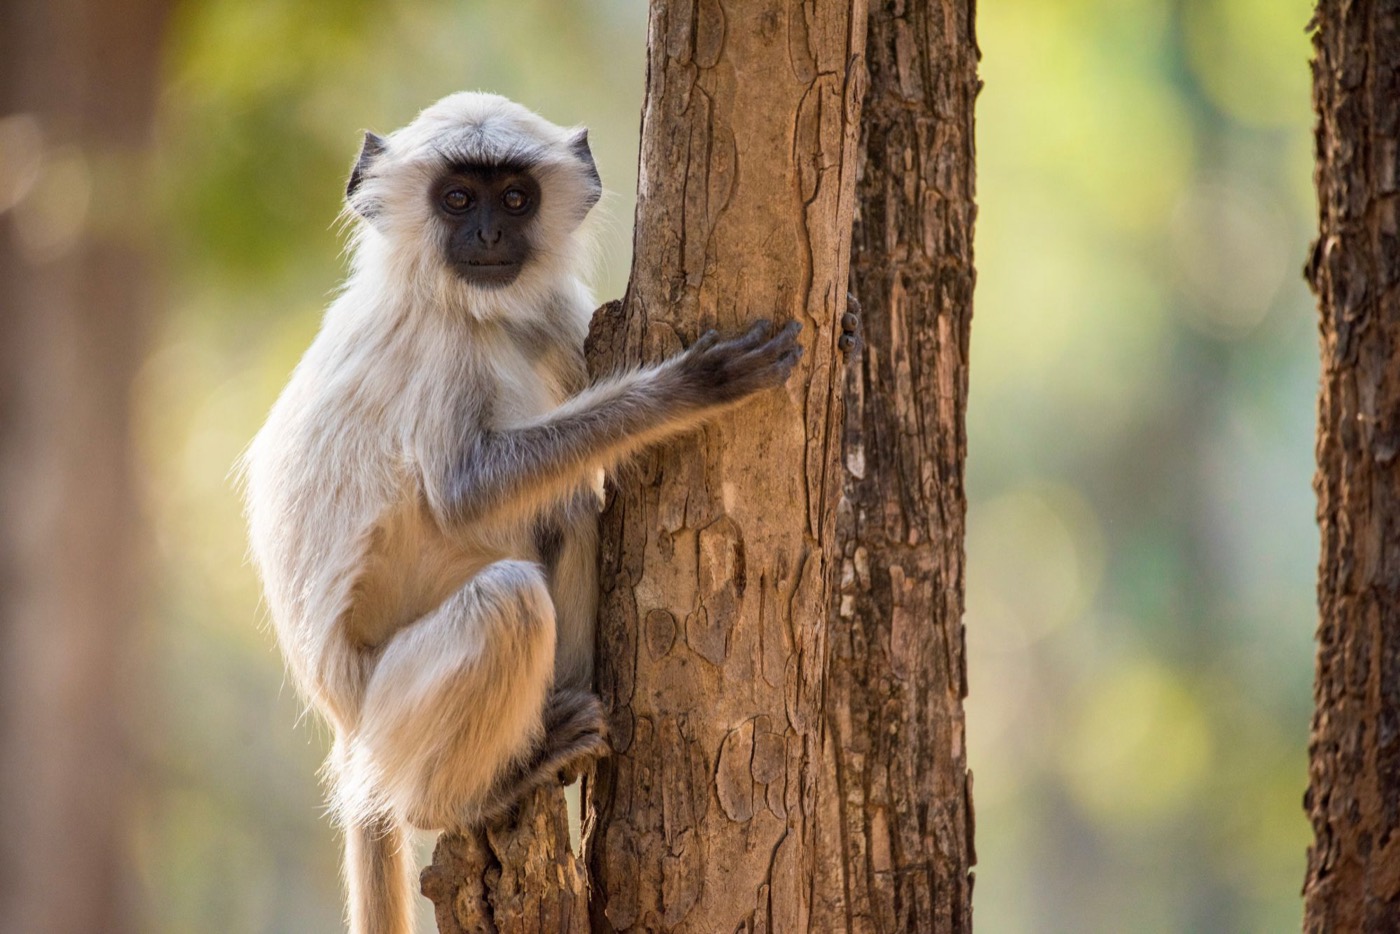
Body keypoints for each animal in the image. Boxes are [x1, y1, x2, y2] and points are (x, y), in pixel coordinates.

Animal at [240, 91, 862, 934]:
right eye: (457, 199)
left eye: (514, 199)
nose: (488, 236)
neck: (474, 308)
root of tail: (342, 721)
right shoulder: (438, 344)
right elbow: (463, 491)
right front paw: (684, 391)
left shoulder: (554, 312)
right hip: (389, 707)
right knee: (509, 593)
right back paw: (473, 792)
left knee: (567, 513)